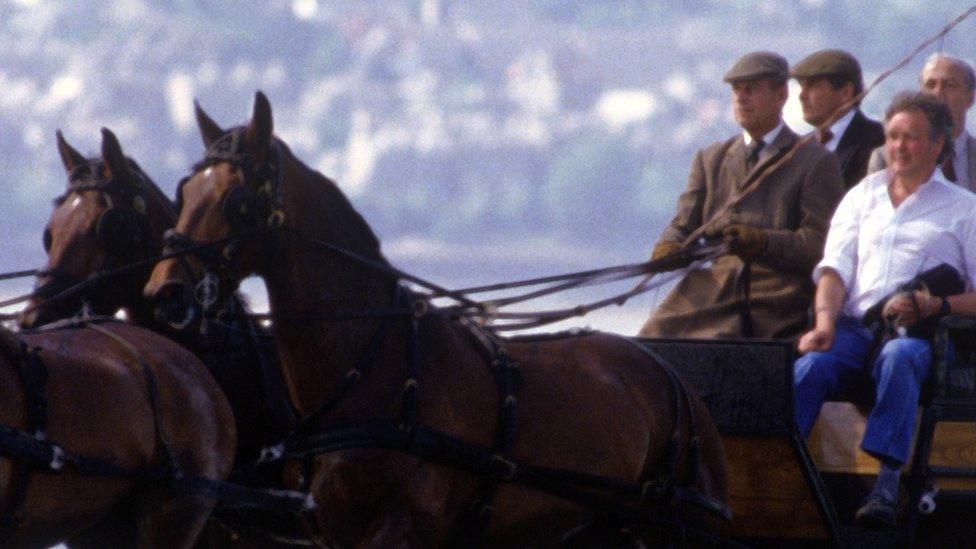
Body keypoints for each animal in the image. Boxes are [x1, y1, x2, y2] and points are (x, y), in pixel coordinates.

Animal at [143, 92, 724, 544]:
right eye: (184, 191)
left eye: (237, 199)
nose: (164, 292)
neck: (367, 370)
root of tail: (671, 377)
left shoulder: (398, 531)